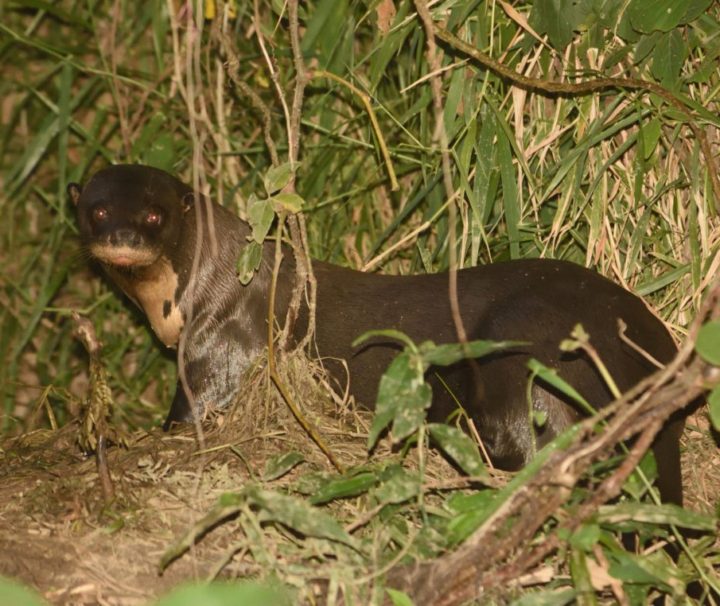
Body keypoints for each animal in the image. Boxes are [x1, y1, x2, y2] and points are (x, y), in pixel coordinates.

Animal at [69, 164, 684, 504]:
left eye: (154, 217)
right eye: (97, 210)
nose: (122, 236)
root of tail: (640, 339)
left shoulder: (222, 342)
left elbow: (190, 418)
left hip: (519, 337)